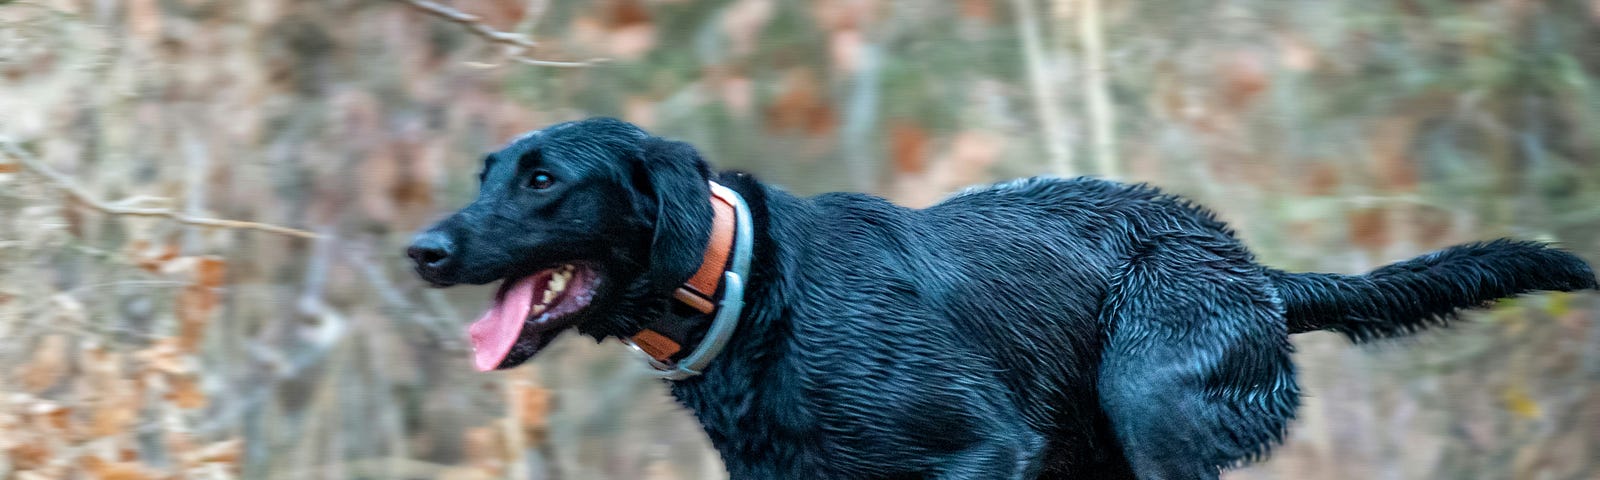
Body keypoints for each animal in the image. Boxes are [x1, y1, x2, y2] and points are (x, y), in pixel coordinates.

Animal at [416, 116, 1600, 480]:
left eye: (543, 179)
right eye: (488, 170)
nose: (421, 249)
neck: (755, 292)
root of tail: (1253, 272)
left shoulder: (981, 447)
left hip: (1153, 400)